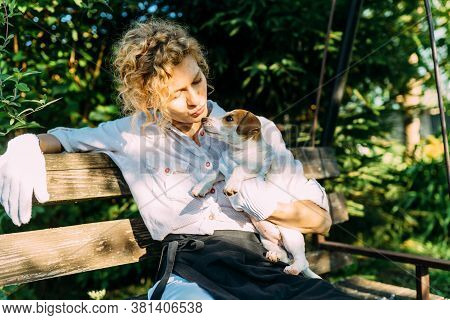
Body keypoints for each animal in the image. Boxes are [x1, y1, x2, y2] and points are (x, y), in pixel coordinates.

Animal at [192, 109, 322, 278]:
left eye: (229, 118)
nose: (203, 119)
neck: (238, 153)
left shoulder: (254, 168)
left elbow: (238, 169)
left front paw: (231, 186)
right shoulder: (222, 170)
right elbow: (212, 174)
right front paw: (200, 187)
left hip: (290, 236)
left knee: (301, 260)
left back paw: (294, 269)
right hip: (267, 241)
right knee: (285, 256)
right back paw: (274, 256)